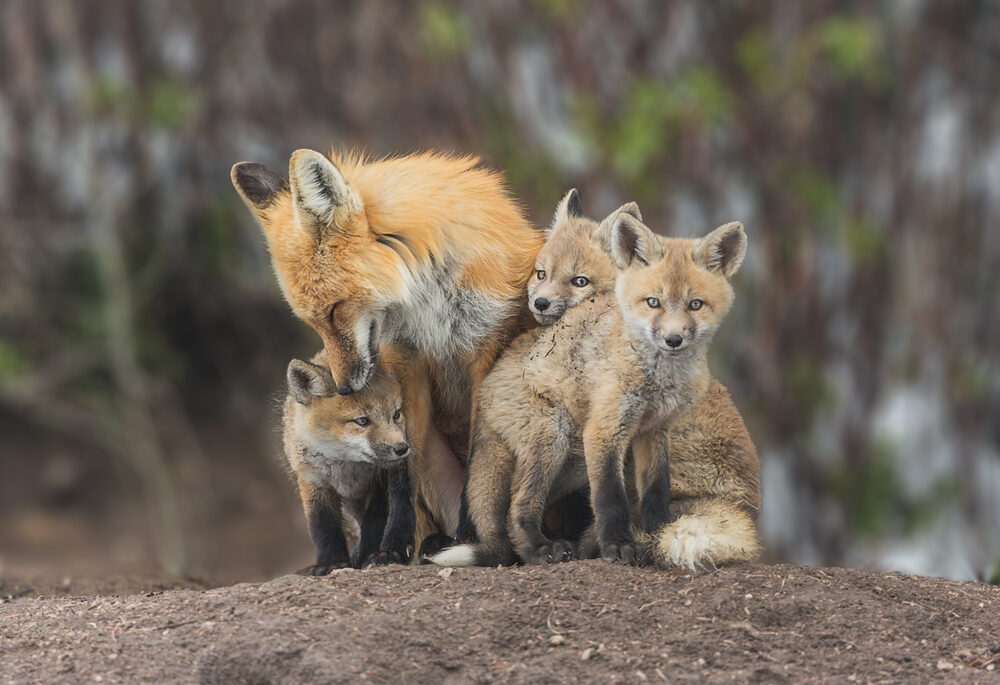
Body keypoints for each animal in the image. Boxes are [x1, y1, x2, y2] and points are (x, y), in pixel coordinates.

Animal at [232, 151, 546, 548]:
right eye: (313, 322)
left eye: (334, 310)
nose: (344, 388)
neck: (428, 300)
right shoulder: (405, 362)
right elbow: (401, 470)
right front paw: (395, 542)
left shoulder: (485, 348)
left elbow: (480, 458)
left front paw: (470, 533)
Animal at [283, 351, 415, 573]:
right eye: (362, 421)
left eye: (396, 414)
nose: (402, 448)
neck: (346, 468)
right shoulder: (312, 480)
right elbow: (322, 525)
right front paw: (331, 562)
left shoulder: (378, 482)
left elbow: (374, 522)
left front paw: (366, 556)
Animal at [433, 203, 758, 569]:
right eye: (540, 274)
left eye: (580, 282)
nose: (673, 339)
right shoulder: (604, 429)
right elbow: (609, 498)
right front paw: (618, 545)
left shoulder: (654, 430)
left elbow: (655, 491)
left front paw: (656, 531)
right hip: (554, 437)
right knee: (518, 507)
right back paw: (540, 549)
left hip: (570, 459)